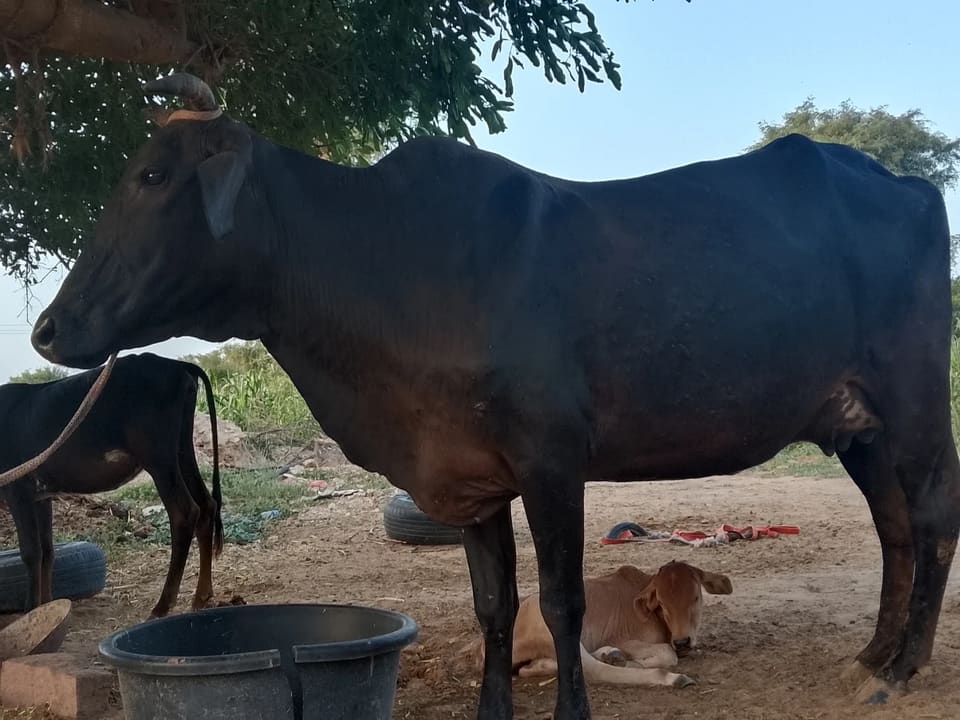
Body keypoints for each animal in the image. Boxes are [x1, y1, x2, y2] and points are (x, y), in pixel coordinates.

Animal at [0, 353, 223, 618]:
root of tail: (174, 364)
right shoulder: (41, 496)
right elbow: (47, 550)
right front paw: (47, 607)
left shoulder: (17, 491)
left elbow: (31, 552)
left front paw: (32, 610)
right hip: (181, 450)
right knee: (207, 505)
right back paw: (202, 596)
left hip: (158, 457)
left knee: (185, 512)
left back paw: (162, 605)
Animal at [506, 561, 732, 688]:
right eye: (662, 603)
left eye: (695, 597)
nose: (682, 641)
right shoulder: (622, 639)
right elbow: (668, 653)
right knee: (592, 670)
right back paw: (670, 678)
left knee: (533, 668)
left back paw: (611, 655)